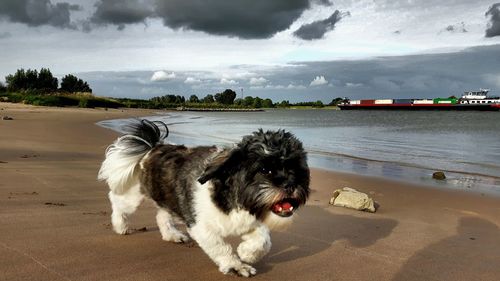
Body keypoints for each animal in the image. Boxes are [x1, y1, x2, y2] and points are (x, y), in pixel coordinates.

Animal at [97, 118, 308, 276]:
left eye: (296, 169)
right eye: (265, 169)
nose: (291, 184)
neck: (234, 197)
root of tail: (152, 148)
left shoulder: (249, 219)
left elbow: (264, 240)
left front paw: (247, 254)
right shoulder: (201, 226)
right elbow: (220, 247)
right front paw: (236, 265)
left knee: (162, 215)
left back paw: (172, 235)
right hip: (133, 196)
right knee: (117, 202)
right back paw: (120, 225)